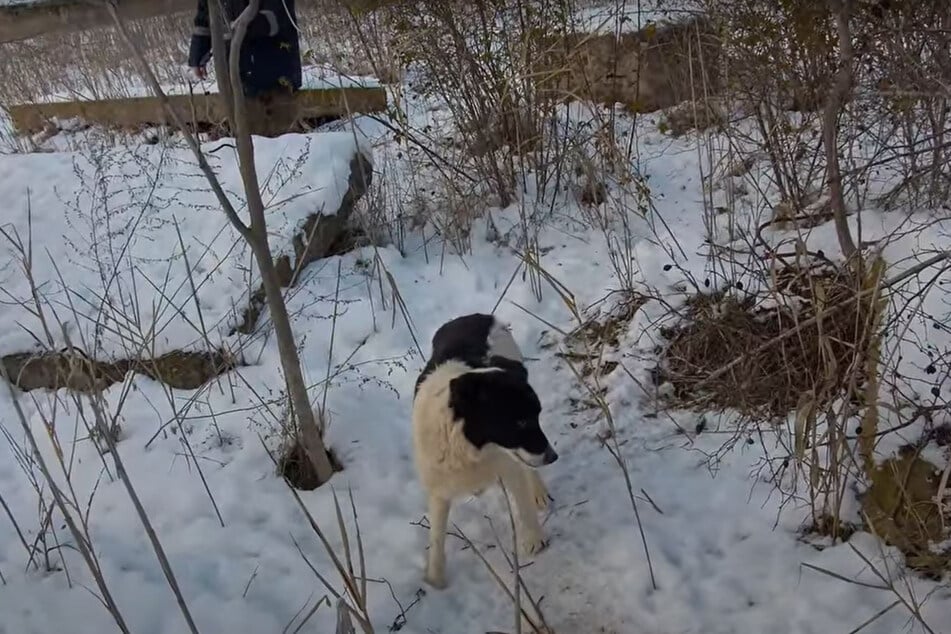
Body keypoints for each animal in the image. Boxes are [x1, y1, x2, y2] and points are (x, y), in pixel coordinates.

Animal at [410, 312, 556, 588]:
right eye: (520, 422)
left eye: (536, 417)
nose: (553, 457)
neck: (468, 446)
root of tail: (477, 316)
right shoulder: (438, 490)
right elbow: (436, 539)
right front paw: (435, 581)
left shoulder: (509, 465)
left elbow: (523, 504)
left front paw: (533, 538)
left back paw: (538, 491)